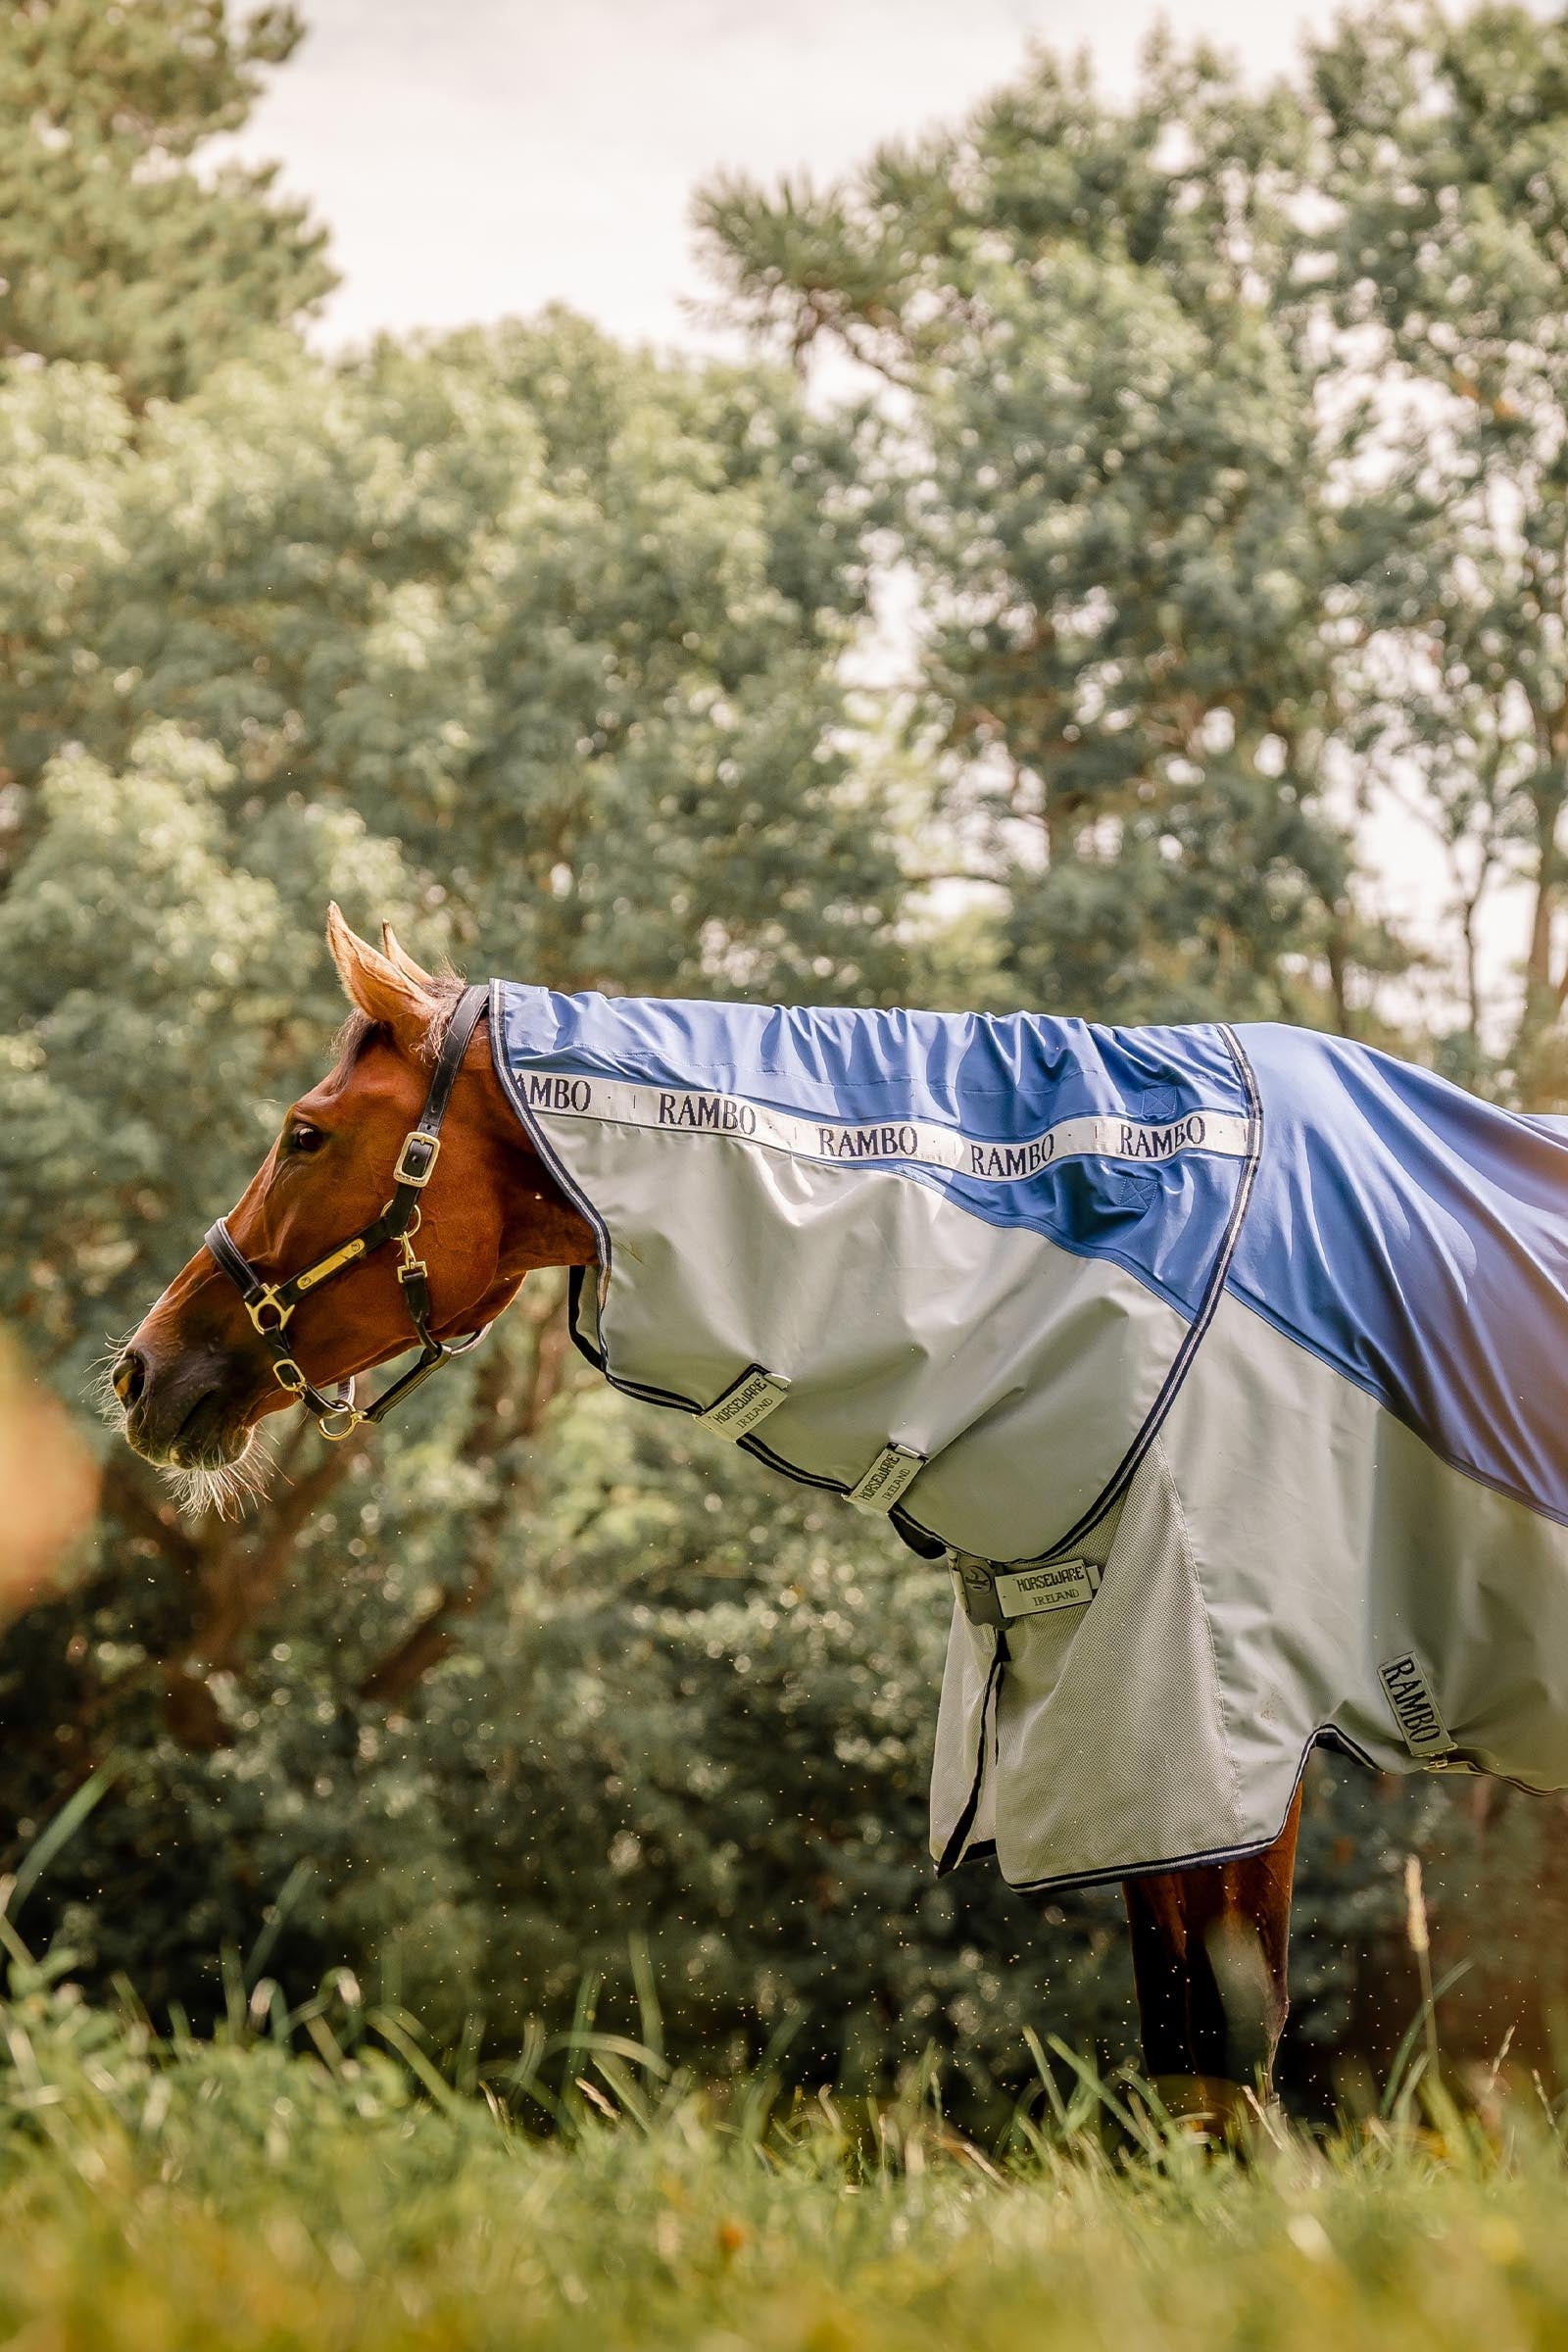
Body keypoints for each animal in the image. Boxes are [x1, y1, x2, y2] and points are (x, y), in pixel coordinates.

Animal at [119, 905, 1568, 2122]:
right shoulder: (1131, 1740)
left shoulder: (1225, 1744)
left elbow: (1228, 2050)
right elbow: (1186, 2063)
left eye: (304, 1133)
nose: (143, 1369)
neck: (1175, 1275)